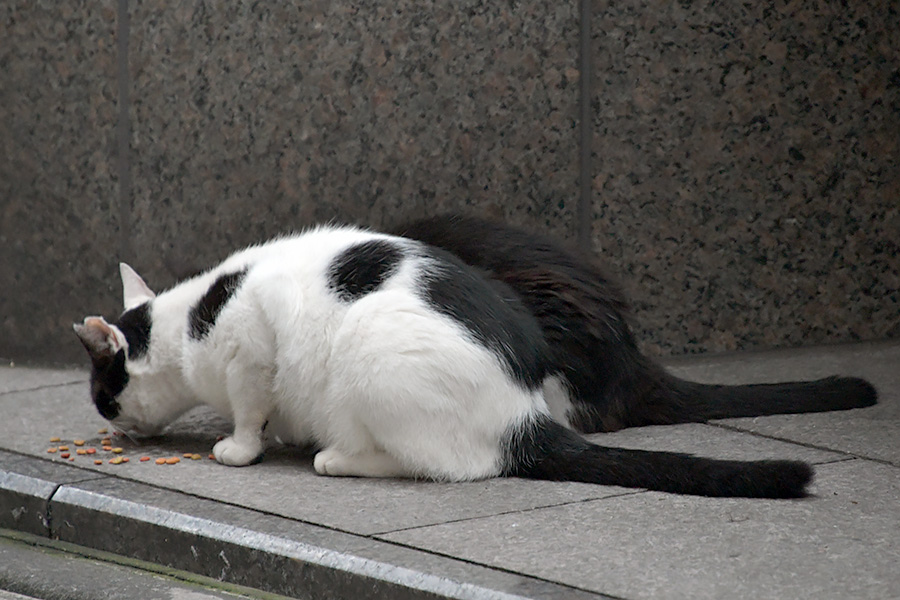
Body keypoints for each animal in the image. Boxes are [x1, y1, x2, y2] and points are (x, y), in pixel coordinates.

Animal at [74, 218, 876, 500]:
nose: (114, 428)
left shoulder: (250, 350)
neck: (190, 324)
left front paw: (239, 449)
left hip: (373, 363)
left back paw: (339, 457)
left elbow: (246, 412)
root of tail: (523, 413)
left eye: (101, 394)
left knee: (447, 466)